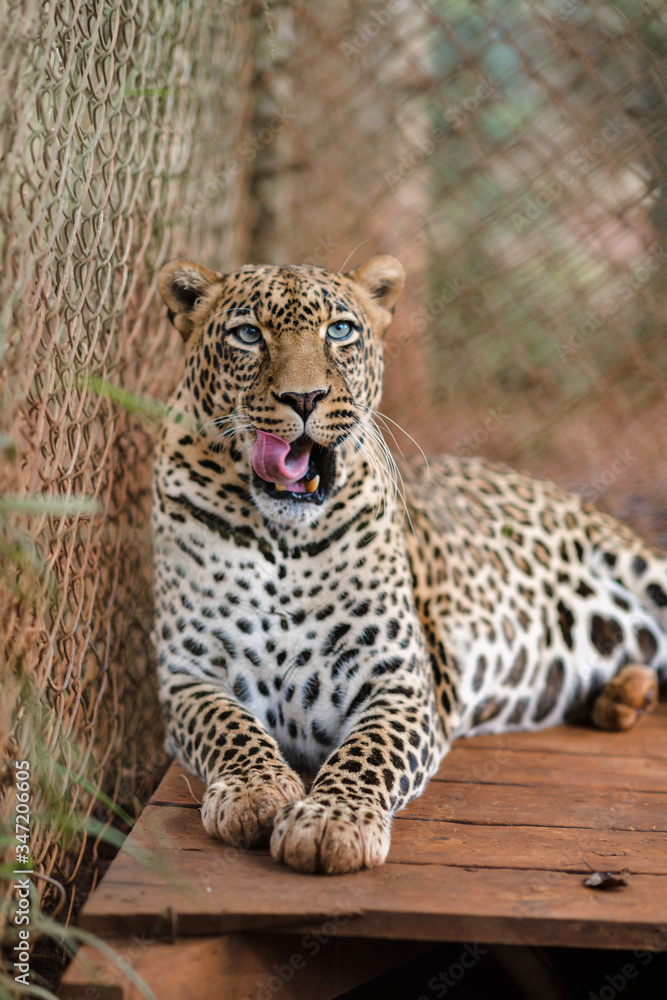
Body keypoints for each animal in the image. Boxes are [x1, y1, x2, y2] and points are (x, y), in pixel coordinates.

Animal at [151, 253, 667, 875]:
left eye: (340, 331)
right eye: (248, 335)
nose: (304, 398)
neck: (284, 543)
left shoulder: (400, 680)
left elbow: (367, 750)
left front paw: (331, 822)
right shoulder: (187, 674)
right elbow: (228, 727)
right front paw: (255, 791)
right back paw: (624, 696)